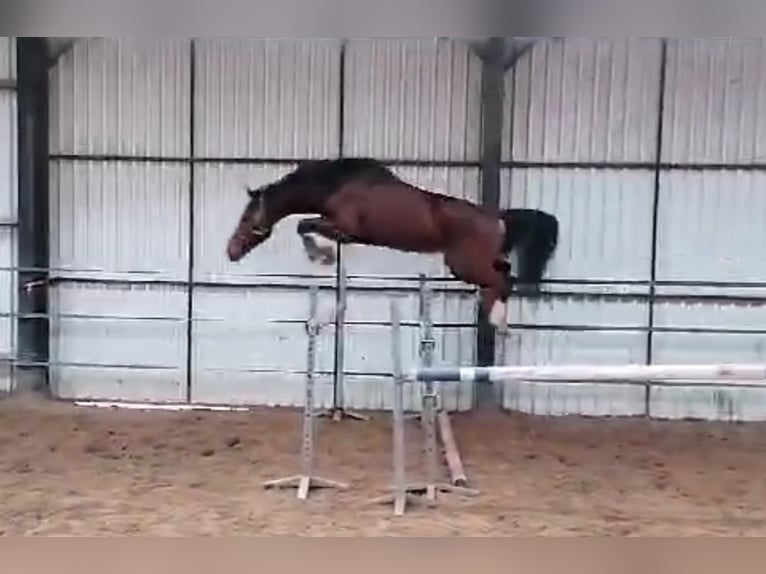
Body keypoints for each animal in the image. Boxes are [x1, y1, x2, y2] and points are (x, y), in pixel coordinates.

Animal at [225, 158, 560, 332]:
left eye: (246, 218)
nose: (231, 251)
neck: (337, 185)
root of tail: (498, 217)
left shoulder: (344, 227)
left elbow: (304, 225)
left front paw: (321, 255)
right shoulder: (349, 233)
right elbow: (306, 226)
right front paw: (323, 255)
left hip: (463, 265)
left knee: (504, 280)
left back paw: (497, 320)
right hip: (477, 262)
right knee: (503, 274)